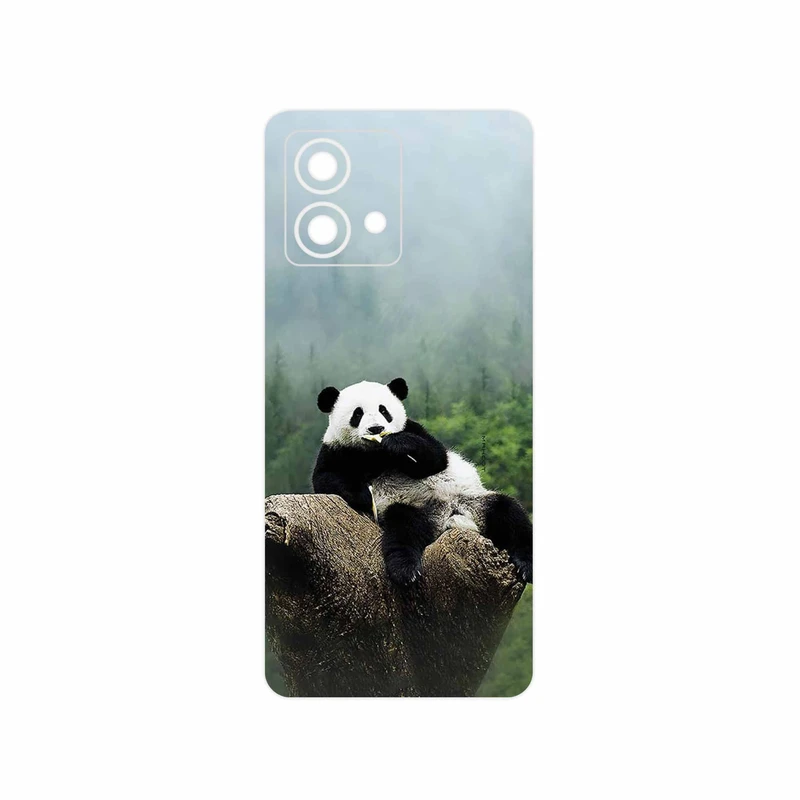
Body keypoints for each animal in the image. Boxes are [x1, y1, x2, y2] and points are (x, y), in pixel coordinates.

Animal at [312, 377, 532, 586]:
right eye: (357, 414)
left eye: (384, 410)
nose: (376, 428)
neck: (375, 453)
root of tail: (448, 517)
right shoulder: (336, 449)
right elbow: (325, 478)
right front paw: (364, 496)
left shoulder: (413, 428)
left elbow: (436, 457)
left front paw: (397, 444)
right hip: (412, 508)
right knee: (403, 529)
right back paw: (405, 570)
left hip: (473, 501)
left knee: (509, 514)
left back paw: (526, 565)